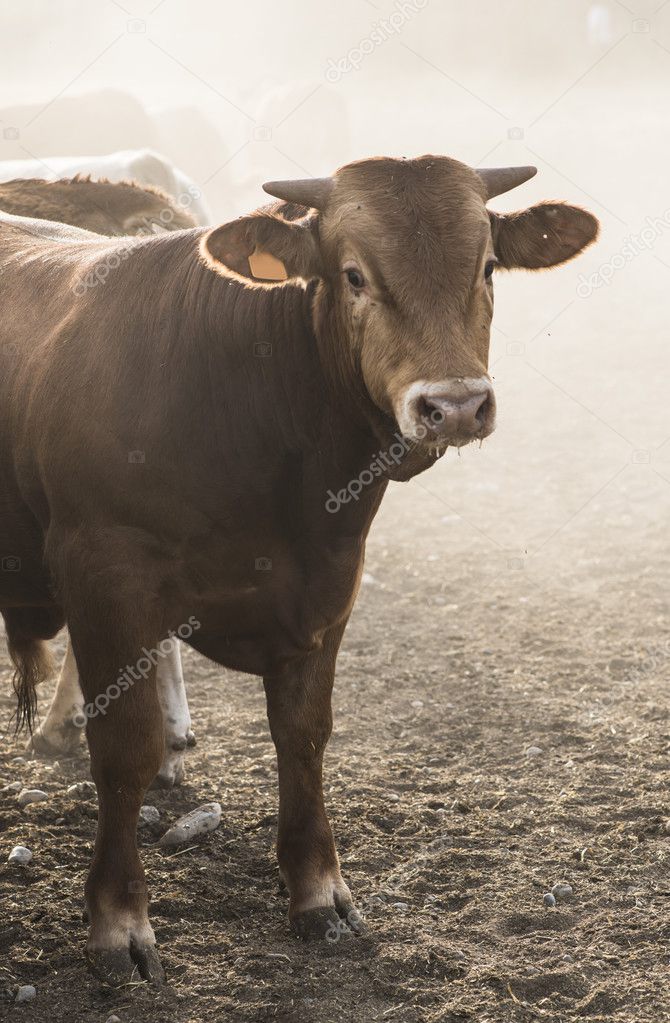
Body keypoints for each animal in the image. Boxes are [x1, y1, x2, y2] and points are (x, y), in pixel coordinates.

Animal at [0, 155, 597, 986]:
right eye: (353, 274)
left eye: (485, 267)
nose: (454, 405)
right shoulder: (104, 575)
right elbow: (125, 749)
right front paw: (118, 923)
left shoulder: (326, 581)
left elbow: (303, 733)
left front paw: (319, 890)